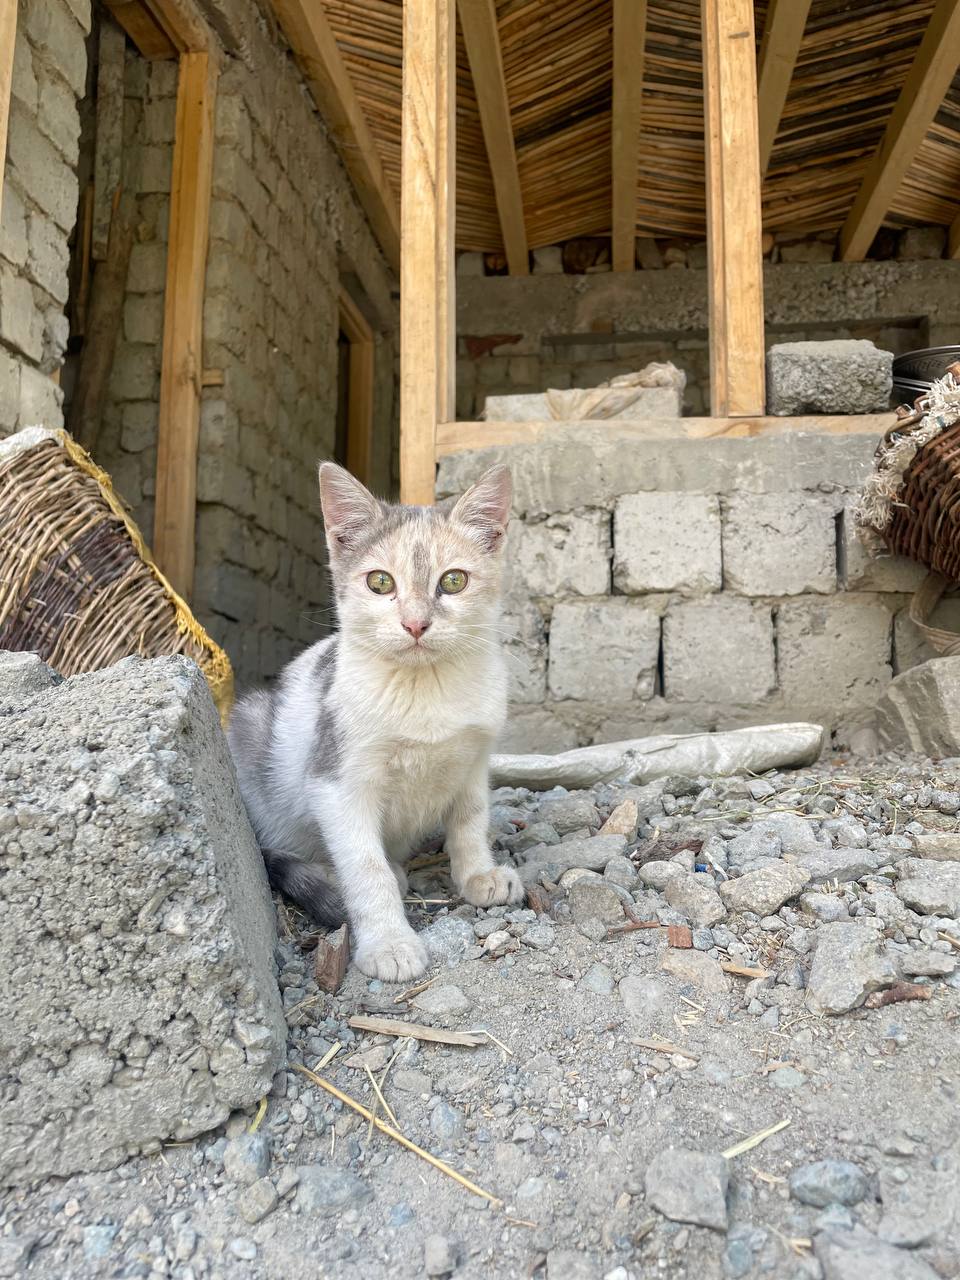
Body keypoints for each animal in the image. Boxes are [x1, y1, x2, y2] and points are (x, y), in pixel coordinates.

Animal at [227, 460, 522, 977]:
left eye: (454, 581)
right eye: (380, 582)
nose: (416, 623)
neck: (425, 688)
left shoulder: (475, 760)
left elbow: (470, 819)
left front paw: (478, 874)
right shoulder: (336, 783)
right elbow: (366, 867)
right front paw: (388, 943)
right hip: (253, 733)